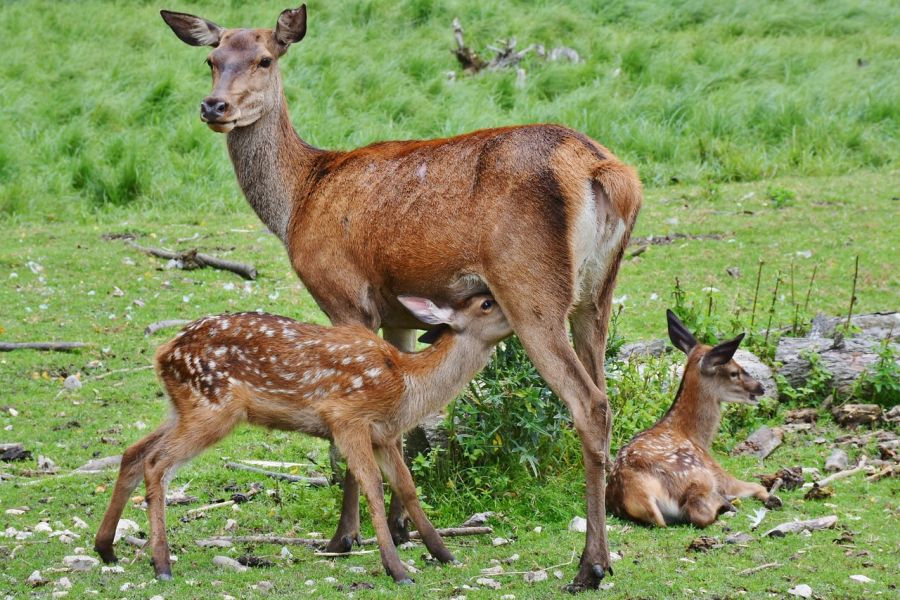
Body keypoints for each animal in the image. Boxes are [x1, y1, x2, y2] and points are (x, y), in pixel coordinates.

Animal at [160, 3, 640, 584]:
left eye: (265, 59)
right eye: (211, 59)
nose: (215, 106)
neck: (299, 201)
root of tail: (604, 171)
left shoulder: (345, 296)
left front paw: (343, 537)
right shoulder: (398, 315)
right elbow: (404, 425)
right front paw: (403, 528)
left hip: (531, 290)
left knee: (588, 402)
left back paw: (589, 565)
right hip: (597, 295)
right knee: (605, 394)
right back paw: (606, 551)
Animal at [608, 312, 784, 528]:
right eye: (734, 372)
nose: (760, 387)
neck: (696, 437)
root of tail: (638, 496)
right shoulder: (718, 471)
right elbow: (757, 486)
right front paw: (772, 497)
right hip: (699, 475)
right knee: (699, 512)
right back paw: (727, 504)